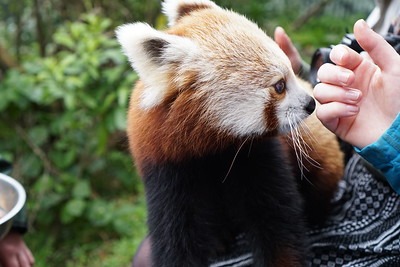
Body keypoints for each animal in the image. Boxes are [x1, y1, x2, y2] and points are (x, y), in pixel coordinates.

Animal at [115, 1, 344, 266]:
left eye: (291, 72)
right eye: (279, 86)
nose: (310, 103)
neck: (209, 148)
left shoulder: (257, 154)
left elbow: (277, 220)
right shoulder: (167, 167)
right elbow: (177, 234)